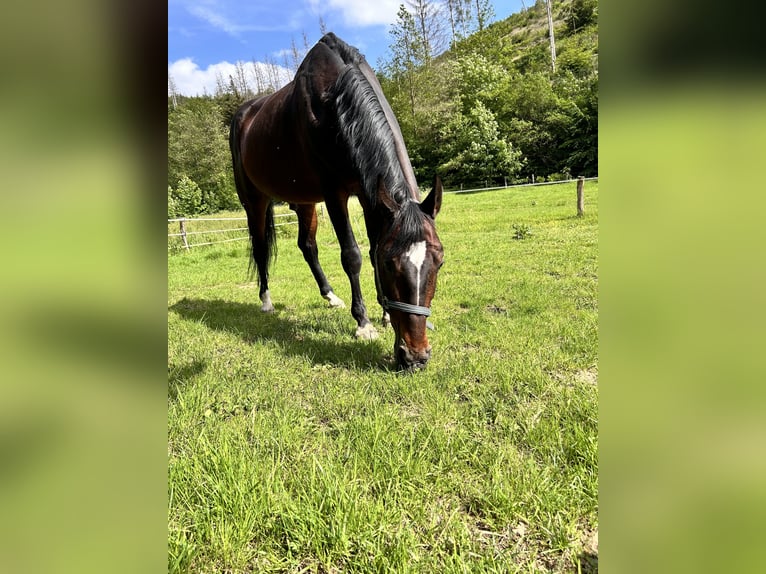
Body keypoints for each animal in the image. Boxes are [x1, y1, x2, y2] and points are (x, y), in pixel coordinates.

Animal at [230, 32, 444, 374]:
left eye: (439, 262)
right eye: (392, 265)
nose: (416, 357)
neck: (337, 103)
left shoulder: (372, 196)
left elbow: (371, 250)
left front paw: (385, 314)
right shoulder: (335, 195)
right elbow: (353, 256)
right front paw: (364, 323)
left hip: (304, 201)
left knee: (307, 246)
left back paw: (330, 296)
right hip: (255, 201)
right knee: (261, 247)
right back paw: (266, 300)